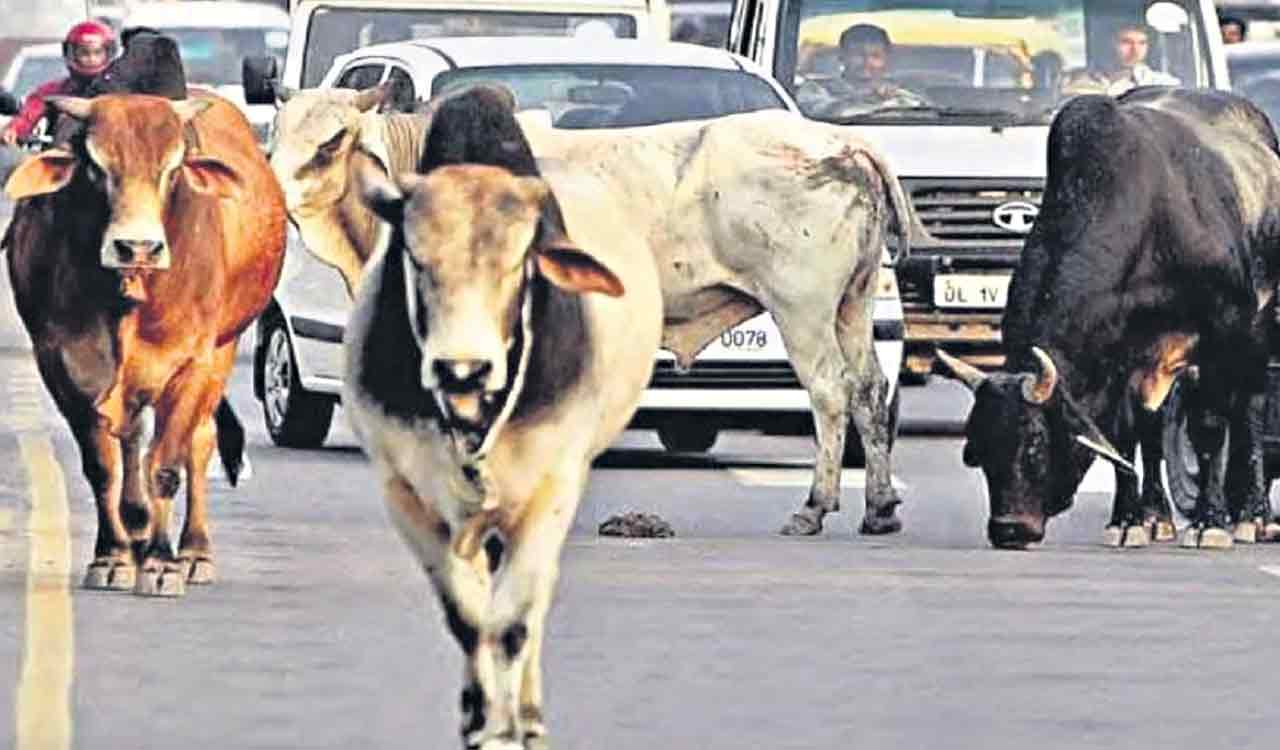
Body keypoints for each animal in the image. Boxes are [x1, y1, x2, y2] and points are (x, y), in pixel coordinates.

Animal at [3, 92, 286, 595]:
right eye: (96, 166)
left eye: (172, 168)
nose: (137, 247)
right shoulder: (60, 364)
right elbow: (103, 466)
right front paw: (112, 556)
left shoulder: (191, 363)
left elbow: (166, 466)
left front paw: (160, 563)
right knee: (132, 439)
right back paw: (135, 531)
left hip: (223, 349)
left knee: (199, 441)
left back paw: (192, 552)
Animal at [273, 83, 913, 538]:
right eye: (274, 134)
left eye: (332, 141)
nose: (273, 193)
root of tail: (845, 144)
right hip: (852, 305)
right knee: (869, 391)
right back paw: (879, 507)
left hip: (801, 309)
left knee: (829, 393)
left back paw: (815, 506)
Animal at [342, 86, 663, 749]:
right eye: (416, 258)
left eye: (519, 263)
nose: (461, 369)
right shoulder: (404, 493)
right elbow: (468, 619)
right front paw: (480, 719)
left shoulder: (553, 489)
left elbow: (513, 621)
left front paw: (510, 726)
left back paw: (531, 712)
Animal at [938, 87, 1280, 550]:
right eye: (979, 446)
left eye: (1035, 443)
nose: (1008, 529)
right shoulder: (1121, 360)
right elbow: (1125, 435)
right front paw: (1129, 520)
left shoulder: (1220, 336)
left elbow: (1209, 428)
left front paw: (1209, 524)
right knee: (1153, 429)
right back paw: (1158, 516)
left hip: (1257, 335)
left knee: (1251, 412)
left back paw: (1254, 516)